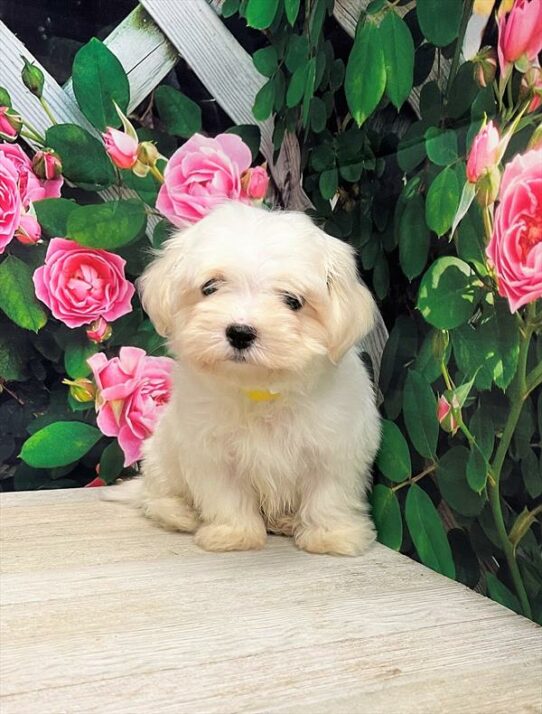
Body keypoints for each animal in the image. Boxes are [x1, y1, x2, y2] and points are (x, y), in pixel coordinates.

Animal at [119, 202, 382, 556]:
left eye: (292, 301)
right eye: (210, 287)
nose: (240, 332)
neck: (260, 388)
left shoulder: (335, 446)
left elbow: (329, 494)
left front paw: (331, 536)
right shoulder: (211, 452)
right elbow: (227, 495)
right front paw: (235, 534)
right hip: (161, 455)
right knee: (156, 495)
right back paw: (180, 514)